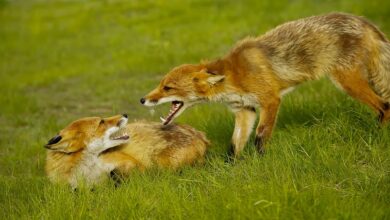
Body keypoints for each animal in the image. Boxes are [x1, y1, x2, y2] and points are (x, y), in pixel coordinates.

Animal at [142, 12, 390, 156]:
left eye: (168, 88)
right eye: (161, 84)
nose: (143, 99)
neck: (234, 79)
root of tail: (361, 19)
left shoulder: (270, 100)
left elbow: (260, 137)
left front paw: (260, 161)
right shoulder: (245, 109)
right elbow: (234, 146)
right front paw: (232, 170)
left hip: (346, 81)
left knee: (384, 106)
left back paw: (378, 135)